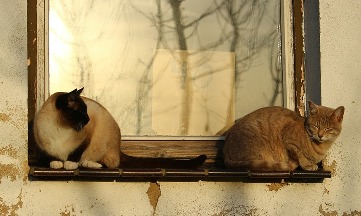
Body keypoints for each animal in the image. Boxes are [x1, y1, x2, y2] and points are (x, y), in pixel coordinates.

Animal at [32, 88, 207, 170]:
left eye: (86, 111)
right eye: (81, 112)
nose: (88, 119)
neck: (60, 128)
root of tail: (119, 148)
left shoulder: (87, 135)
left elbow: (76, 153)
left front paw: (68, 164)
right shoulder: (42, 146)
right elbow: (49, 157)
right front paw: (56, 163)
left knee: (108, 163)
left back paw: (88, 164)